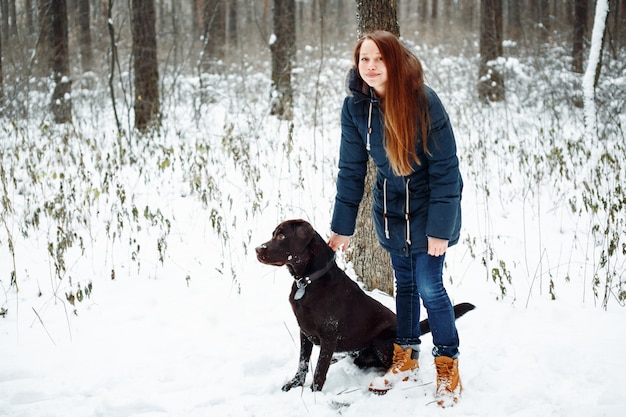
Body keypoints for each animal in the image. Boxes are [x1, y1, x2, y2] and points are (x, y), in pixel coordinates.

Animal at [254, 219, 472, 392]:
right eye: (274, 234)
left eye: (281, 235)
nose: (257, 249)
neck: (308, 282)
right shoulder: (304, 331)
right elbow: (303, 363)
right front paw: (294, 384)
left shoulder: (329, 334)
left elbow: (320, 368)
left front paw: (313, 393)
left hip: (382, 341)